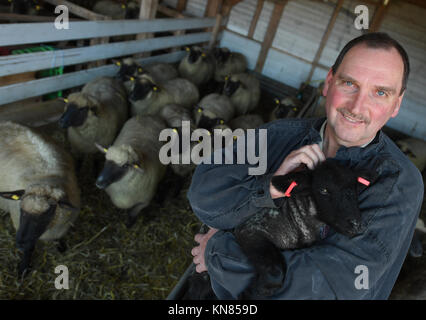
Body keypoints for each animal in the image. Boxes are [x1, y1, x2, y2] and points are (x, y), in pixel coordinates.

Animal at [0, 120, 80, 276]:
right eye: (21, 210)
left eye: (48, 212)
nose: (20, 243)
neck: (47, 179)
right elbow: (29, 249)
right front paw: (23, 268)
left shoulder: (62, 227)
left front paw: (61, 246)